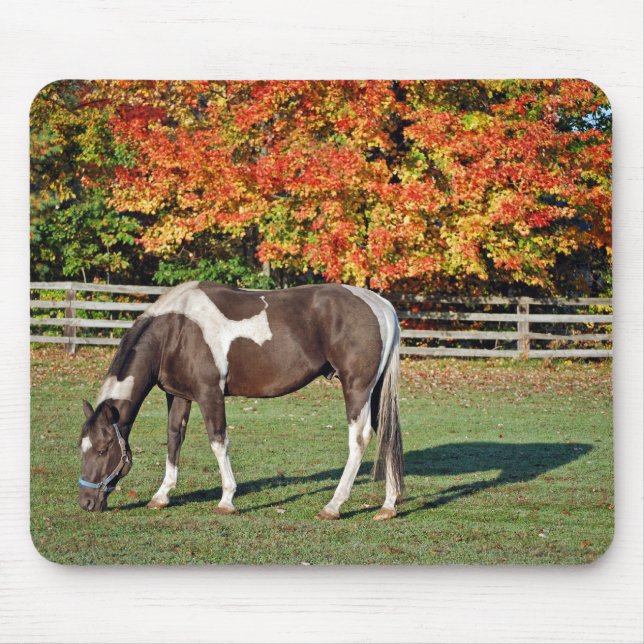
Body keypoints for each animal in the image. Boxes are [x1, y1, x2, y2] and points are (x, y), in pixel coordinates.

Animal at [78, 281, 403, 520]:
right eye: (82, 448)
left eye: (103, 449)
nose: (86, 502)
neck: (175, 329)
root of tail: (381, 305)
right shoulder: (179, 395)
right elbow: (174, 439)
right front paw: (162, 495)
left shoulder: (209, 393)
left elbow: (218, 441)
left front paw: (227, 500)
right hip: (375, 393)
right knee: (387, 436)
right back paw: (388, 506)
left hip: (357, 389)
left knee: (359, 439)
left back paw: (333, 506)